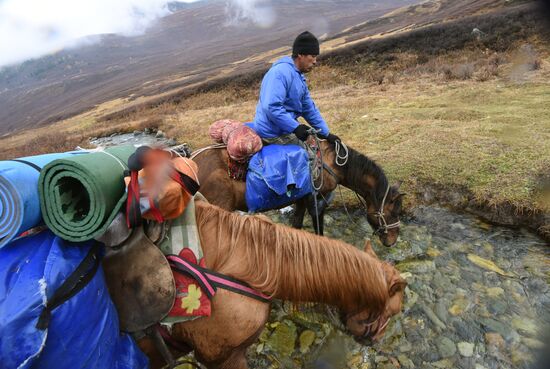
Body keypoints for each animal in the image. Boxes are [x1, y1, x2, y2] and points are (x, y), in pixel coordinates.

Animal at [193, 139, 406, 246]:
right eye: (394, 211)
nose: (392, 241)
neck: (332, 164)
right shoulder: (316, 198)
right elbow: (318, 227)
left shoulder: (301, 199)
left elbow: (296, 224)